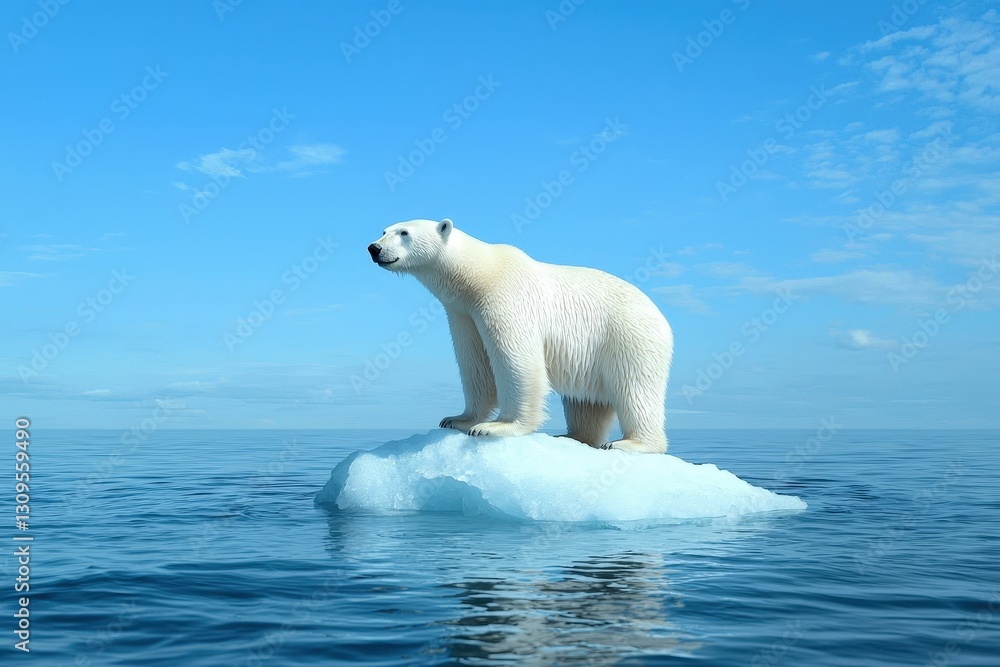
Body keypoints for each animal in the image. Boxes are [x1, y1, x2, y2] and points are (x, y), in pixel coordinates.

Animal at [367, 219, 674, 454]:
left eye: (404, 232)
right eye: (384, 230)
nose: (374, 248)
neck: (479, 275)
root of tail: (662, 319)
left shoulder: (504, 297)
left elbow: (516, 360)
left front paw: (496, 426)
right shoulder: (463, 314)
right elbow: (475, 365)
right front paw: (457, 420)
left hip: (627, 338)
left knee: (635, 390)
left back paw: (630, 443)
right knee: (586, 402)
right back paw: (572, 436)